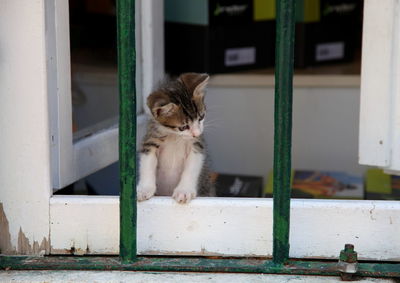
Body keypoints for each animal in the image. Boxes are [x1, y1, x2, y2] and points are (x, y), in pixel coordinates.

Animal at [136, 72, 216, 203]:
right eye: (183, 127)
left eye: (201, 117)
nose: (196, 133)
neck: (175, 136)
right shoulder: (151, 141)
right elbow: (147, 164)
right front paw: (144, 189)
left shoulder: (197, 145)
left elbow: (191, 167)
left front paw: (184, 190)